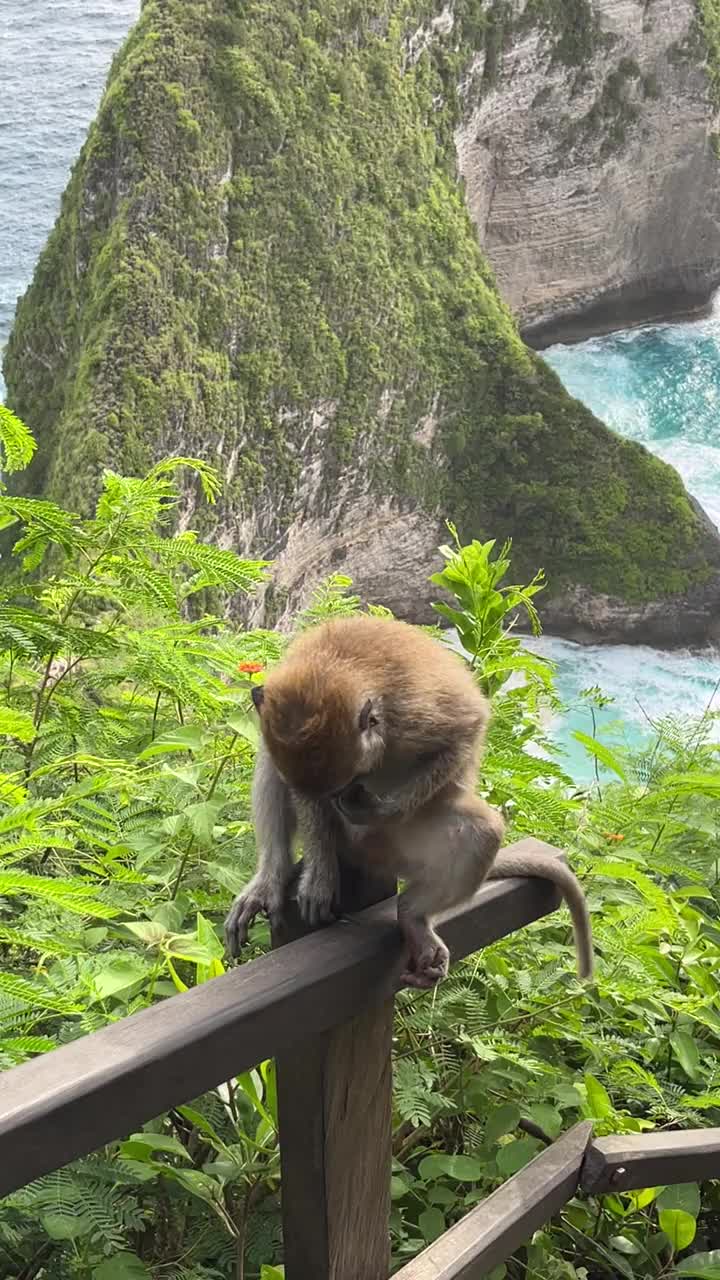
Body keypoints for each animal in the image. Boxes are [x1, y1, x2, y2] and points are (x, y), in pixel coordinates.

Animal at [222, 611, 589, 988]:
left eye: (347, 785)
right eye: (333, 791)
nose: (346, 801)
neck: (332, 665)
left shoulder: (415, 715)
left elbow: (464, 732)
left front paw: (378, 811)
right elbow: (298, 791)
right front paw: (320, 873)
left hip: (402, 850)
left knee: (483, 832)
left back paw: (412, 915)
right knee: (268, 759)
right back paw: (273, 877)